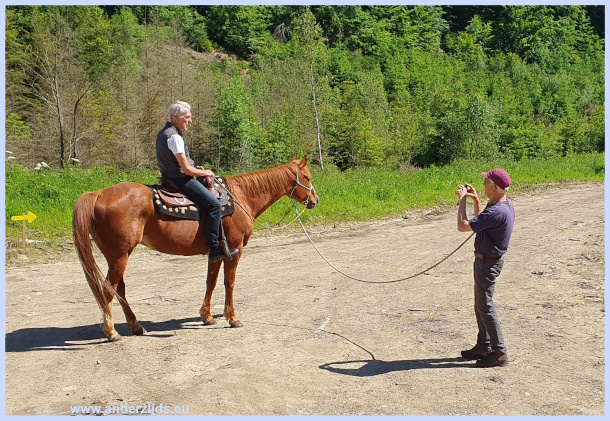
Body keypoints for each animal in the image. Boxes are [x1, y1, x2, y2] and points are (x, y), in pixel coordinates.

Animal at [73, 154, 318, 342]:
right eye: (307, 177)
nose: (315, 200)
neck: (241, 197)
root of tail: (97, 194)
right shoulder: (235, 250)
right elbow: (229, 282)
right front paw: (232, 318)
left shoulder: (216, 252)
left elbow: (211, 281)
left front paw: (207, 317)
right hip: (120, 256)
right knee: (108, 289)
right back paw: (111, 332)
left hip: (116, 256)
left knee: (119, 289)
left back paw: (135, 325)